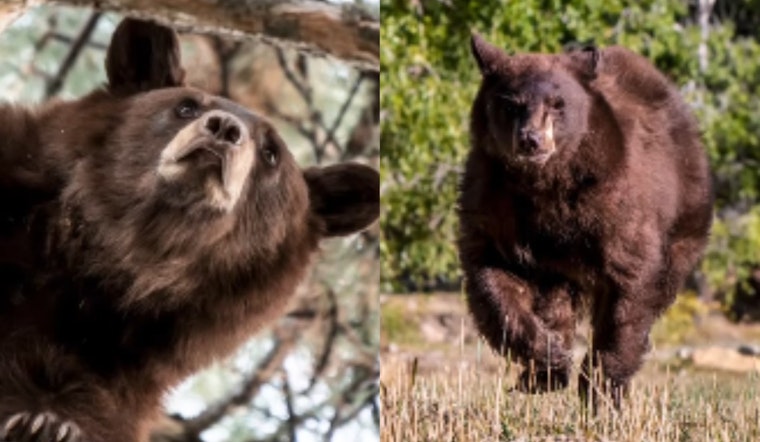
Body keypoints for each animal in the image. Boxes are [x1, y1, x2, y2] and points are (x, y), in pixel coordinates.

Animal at [457, 34, 713, 409]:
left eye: (557, 104)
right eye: (511, 104)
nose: (531, 139)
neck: (543, 186)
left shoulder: (612, 203)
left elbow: (629, 286)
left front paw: (601, 388)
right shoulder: (496, 201)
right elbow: (493, 277)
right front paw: (549, 360)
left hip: (684, 218)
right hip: (558, 269)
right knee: (556, 303)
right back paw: (543, 369)